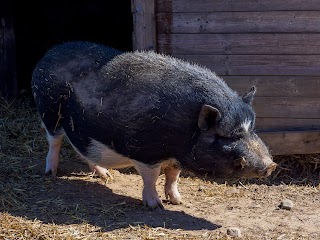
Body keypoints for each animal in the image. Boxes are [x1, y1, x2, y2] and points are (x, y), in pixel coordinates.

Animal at [32, 40, 278, 208]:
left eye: (252, 129)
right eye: (227, 136)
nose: (271, 165)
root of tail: (47, 55)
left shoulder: (176, 157)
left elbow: (173, 177)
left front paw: (179, 201)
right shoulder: (146, 152)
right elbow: (152, 177)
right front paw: (156, 206)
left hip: (81, 126)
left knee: (84, 150)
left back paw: (106, 176)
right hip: (49, 111)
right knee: (54, 141)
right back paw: (51, 173)